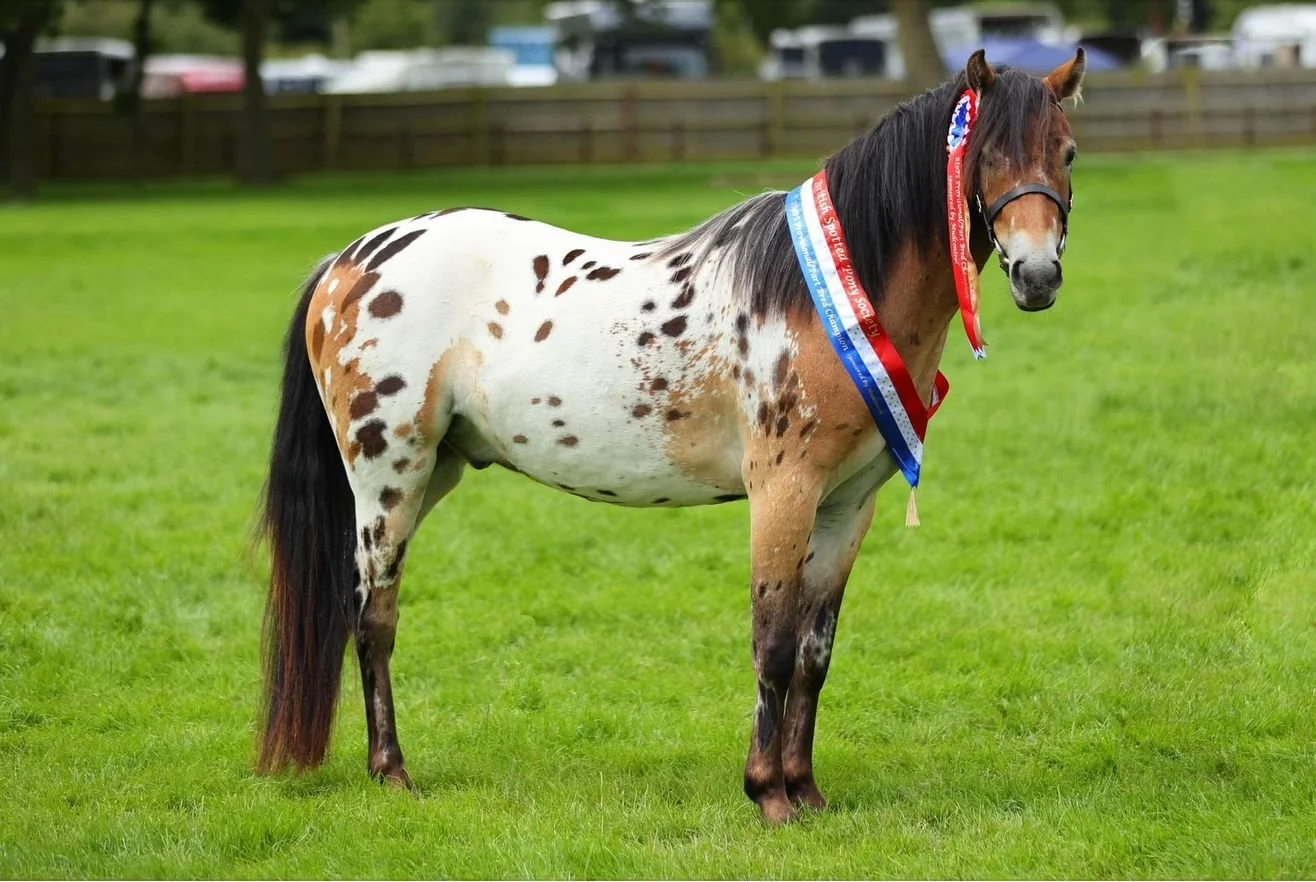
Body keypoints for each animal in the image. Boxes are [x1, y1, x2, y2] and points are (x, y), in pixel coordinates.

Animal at [255, 49, 1086, 825]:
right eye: (985, 154)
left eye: (1069, 152)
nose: (1038, 275)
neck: (826, 296)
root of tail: (349, 260)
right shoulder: (782, 494)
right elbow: (773, 644)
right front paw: (769, 796)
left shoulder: (847, 506)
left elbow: (814, 654)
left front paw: (807, 791)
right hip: (388, 476)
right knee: (373, 617)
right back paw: (392, 772)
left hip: (433, 473)